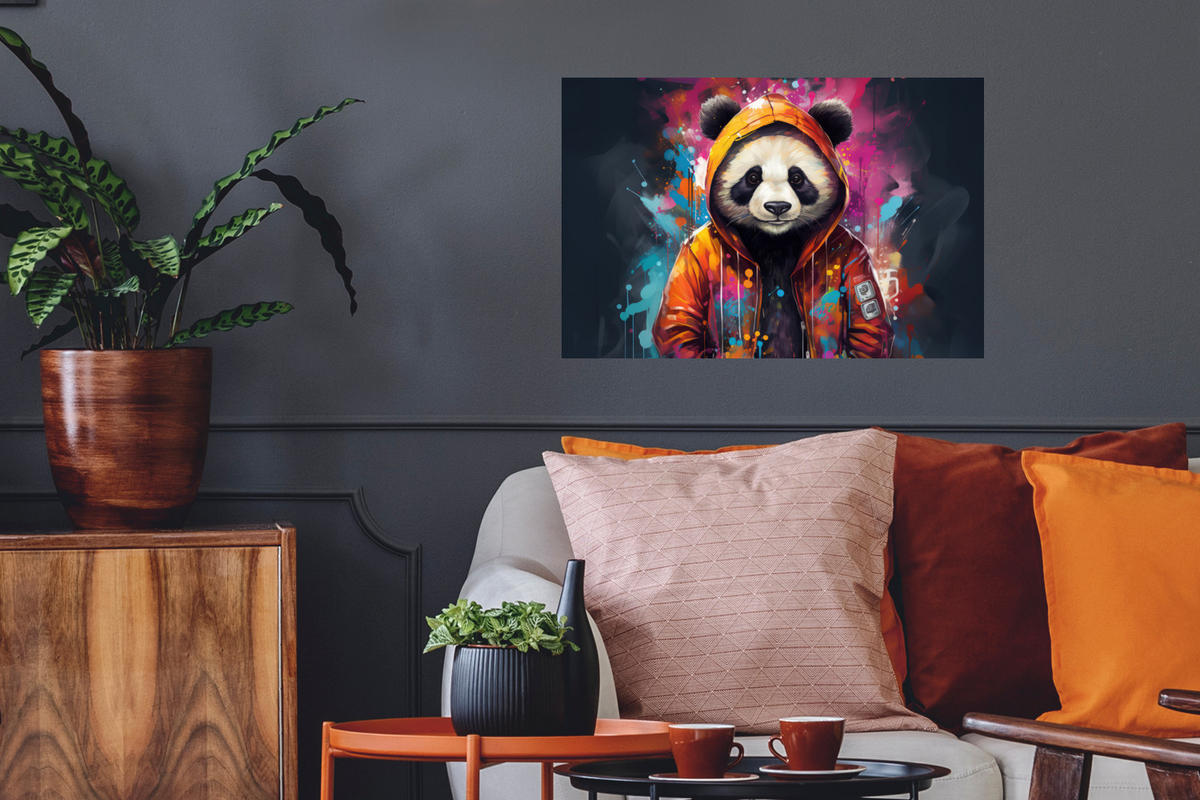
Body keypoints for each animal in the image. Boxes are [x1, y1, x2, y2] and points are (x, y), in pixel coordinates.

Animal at [652, 93, 892, 358]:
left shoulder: (853, 251)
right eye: (753, 177)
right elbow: (681, 320)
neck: (775, 239)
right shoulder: (694, 251)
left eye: (797, 178)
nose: (777, 207)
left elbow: (866, 325)